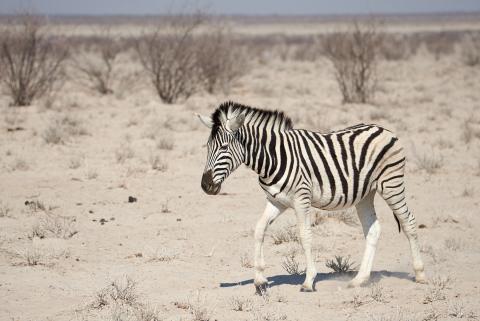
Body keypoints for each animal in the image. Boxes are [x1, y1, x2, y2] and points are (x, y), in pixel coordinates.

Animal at [197, 101, 426, 292]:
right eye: (208, 147)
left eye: (224, 147)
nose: (206, 186)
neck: (272, 158)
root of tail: (384, 129)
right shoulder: (276, 201)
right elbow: (259, 229)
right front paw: (260, 280)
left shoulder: (301, 199)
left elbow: (305, 235)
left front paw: (308, 281)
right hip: (365, 194)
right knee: (373, 230)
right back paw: (359, 280)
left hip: (391, 184)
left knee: (409, 222)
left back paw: (420, 274)